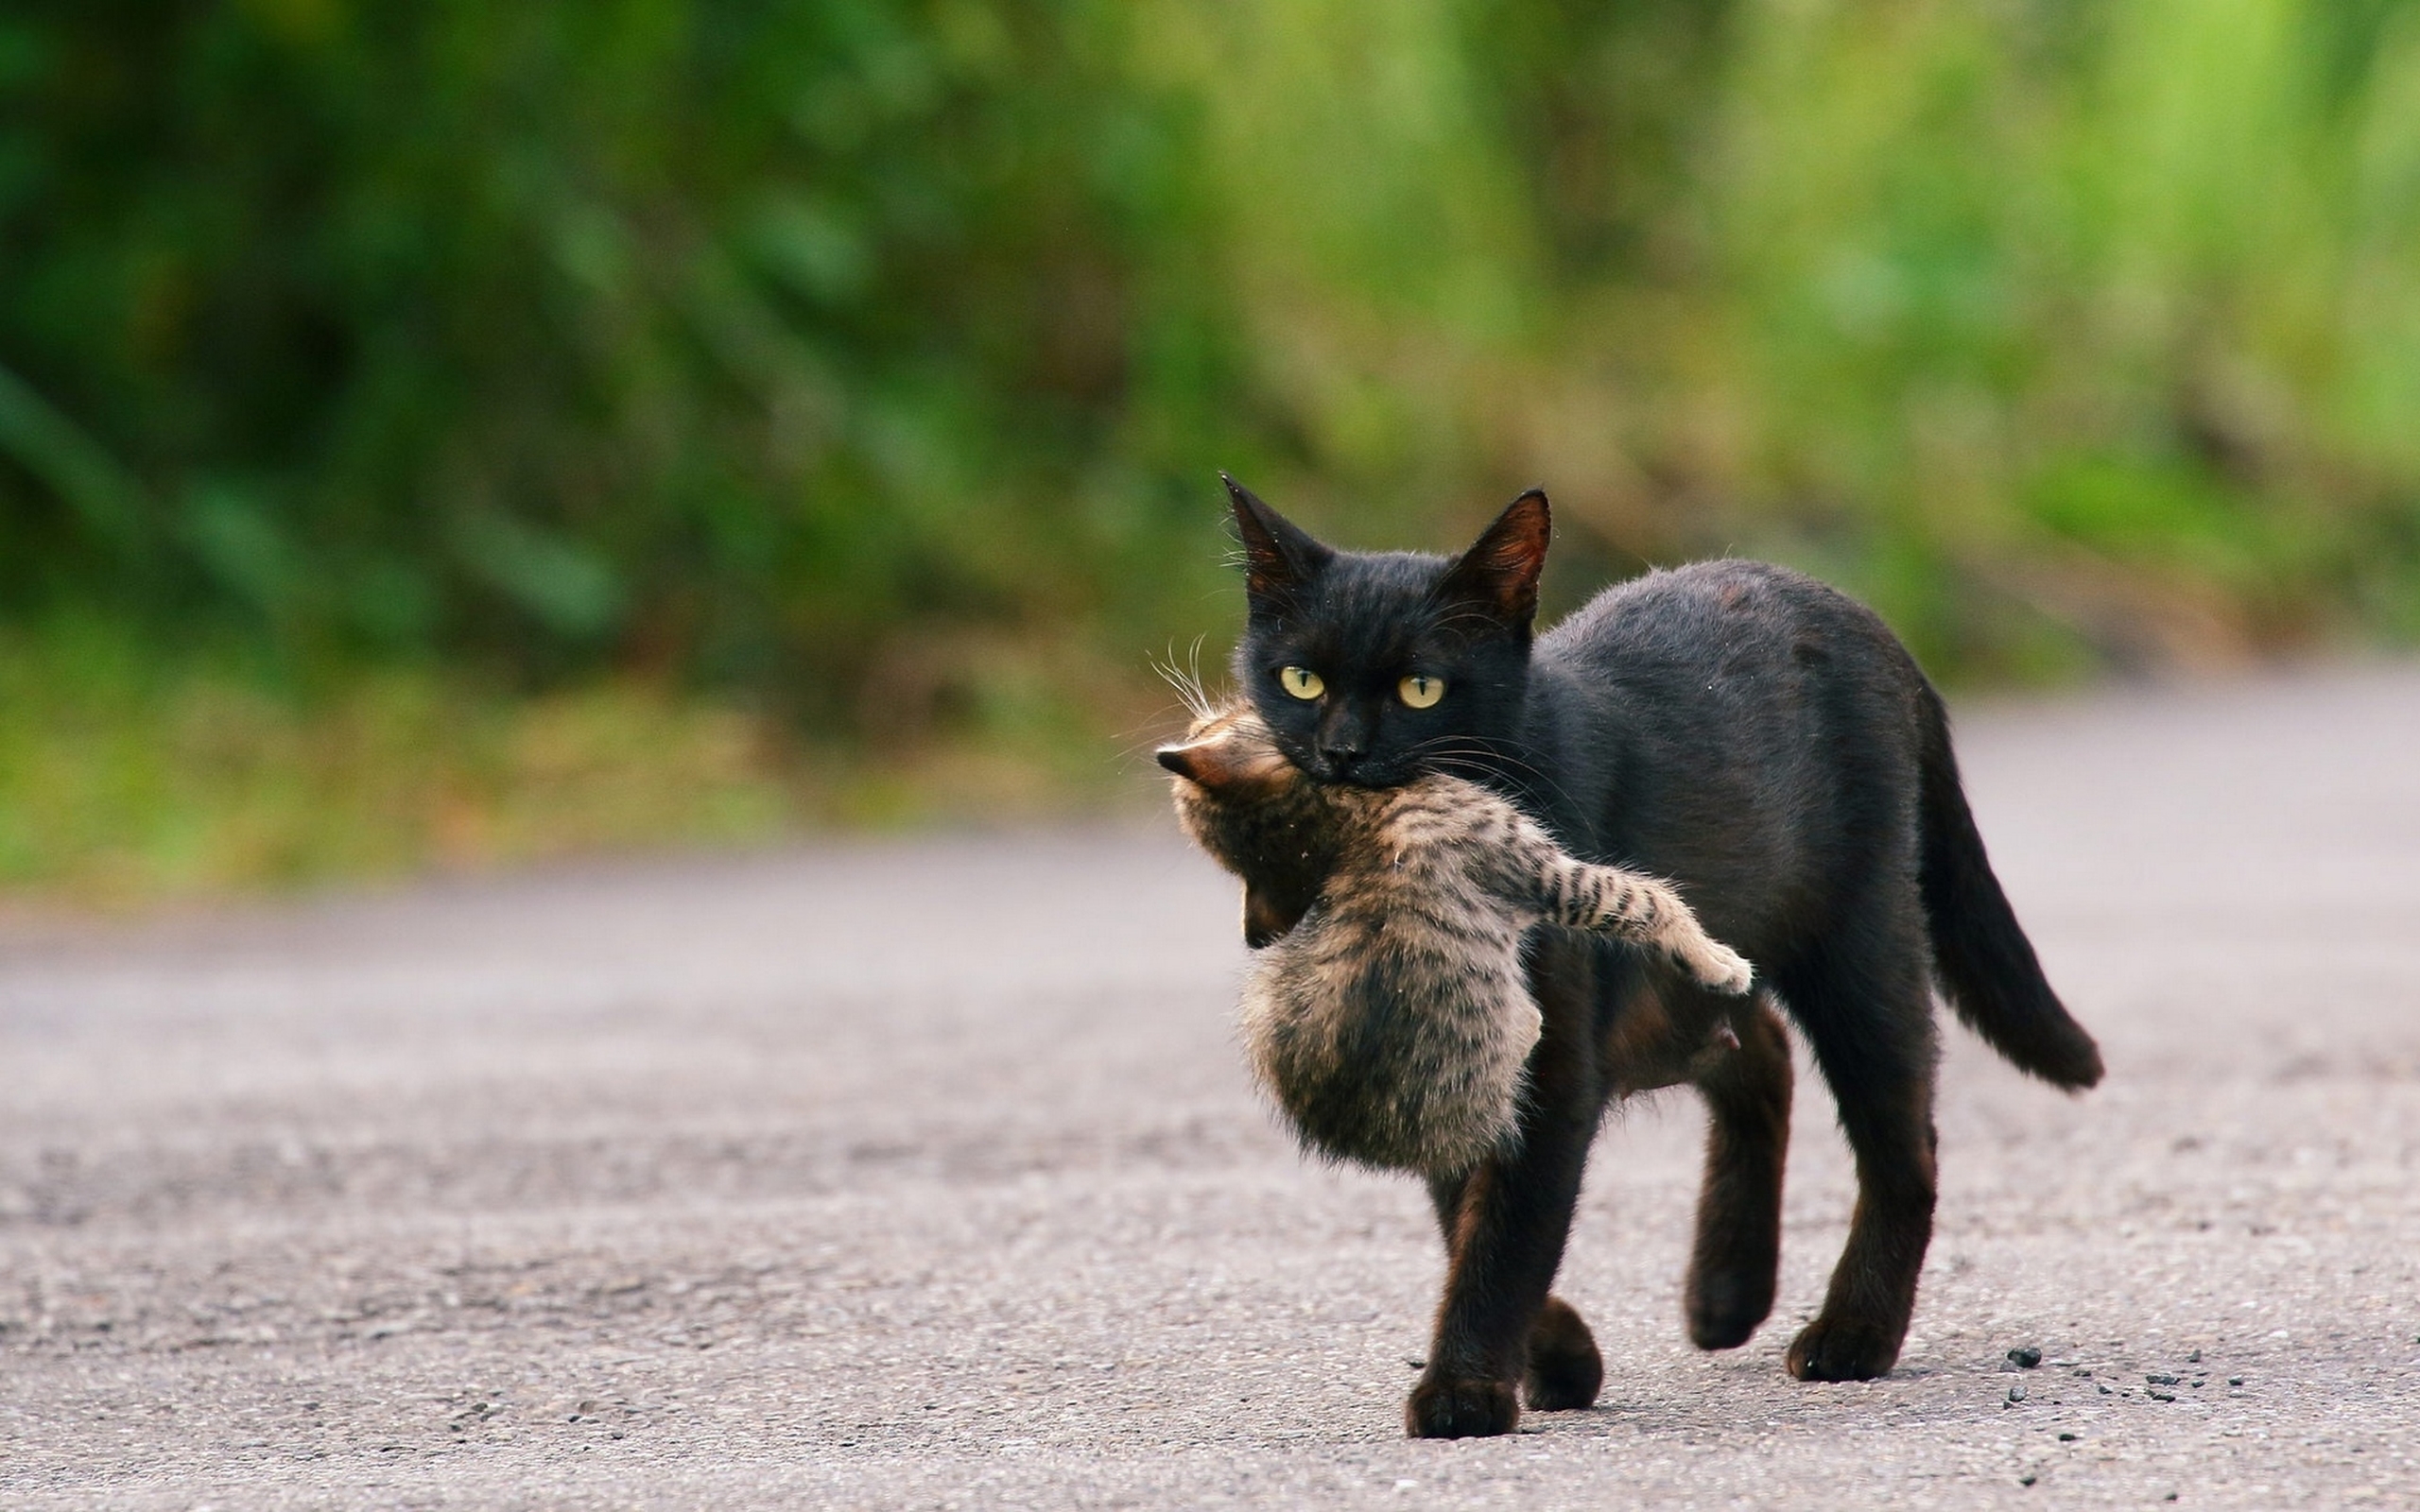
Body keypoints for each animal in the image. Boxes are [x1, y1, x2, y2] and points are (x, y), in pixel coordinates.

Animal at [1156, 701, 1752, 1176]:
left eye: (1209, 723)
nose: (1193, 719)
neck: (1347, 814)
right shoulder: (1540, 872)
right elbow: (1645, 899)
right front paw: (1717, 961)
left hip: (1265, 994)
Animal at [1219, 473, 2110, 1441]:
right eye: (1300, 679)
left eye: (1422, 688)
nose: (1343, 754)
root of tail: (1853, 612)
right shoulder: (1447, 1060)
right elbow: (1467, 1213)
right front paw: (1558, 1360)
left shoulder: (1552, 1065)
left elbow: (1508, 1229)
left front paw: (1464, 1390)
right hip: (1682, 988)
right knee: (1757, 1049)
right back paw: (1727, 1291)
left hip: (1857, 941)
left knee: (1902, 1135)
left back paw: (1853, 1331)